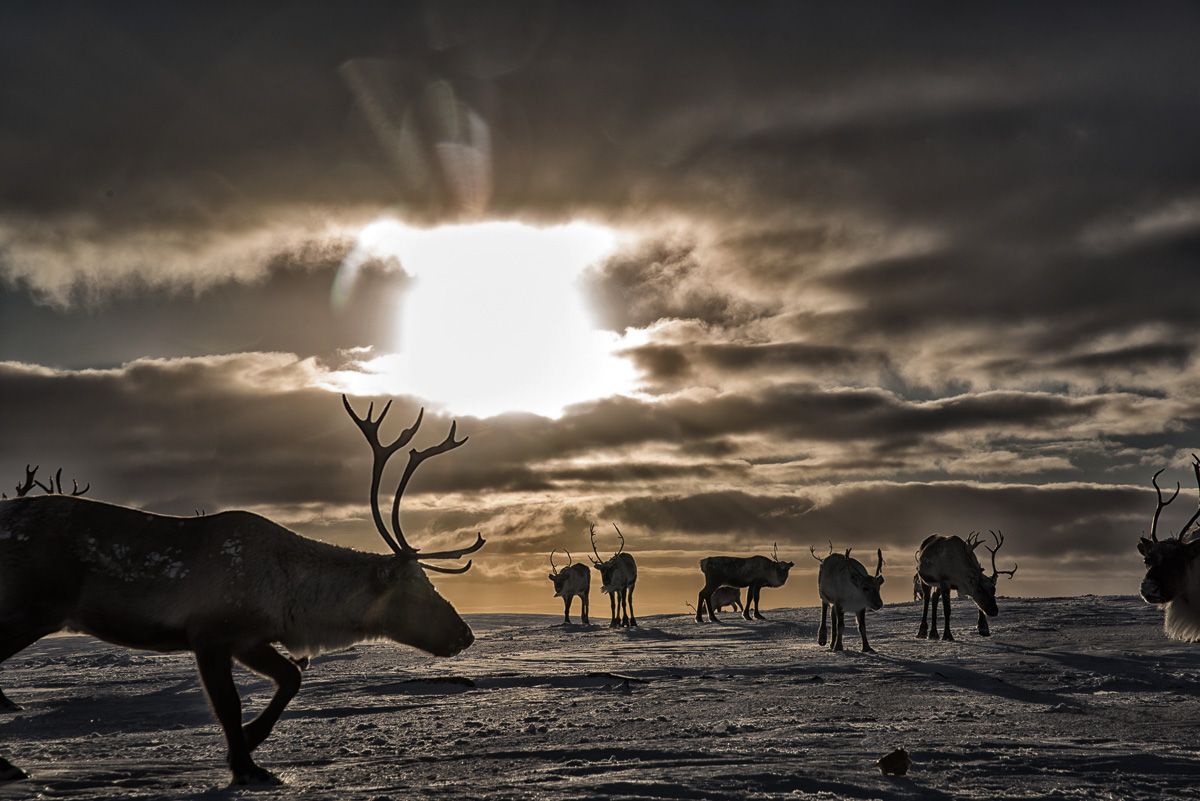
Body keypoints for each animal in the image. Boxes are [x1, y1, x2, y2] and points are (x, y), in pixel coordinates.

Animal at [0, 395, 484, 786]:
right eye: (417, 590)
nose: (465, 634)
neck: (294, 597)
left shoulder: (250, 638)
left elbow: (291, 677)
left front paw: (250, 743)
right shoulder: (210, 634)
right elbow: (229, 705)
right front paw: (245, 764)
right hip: (30, 608)